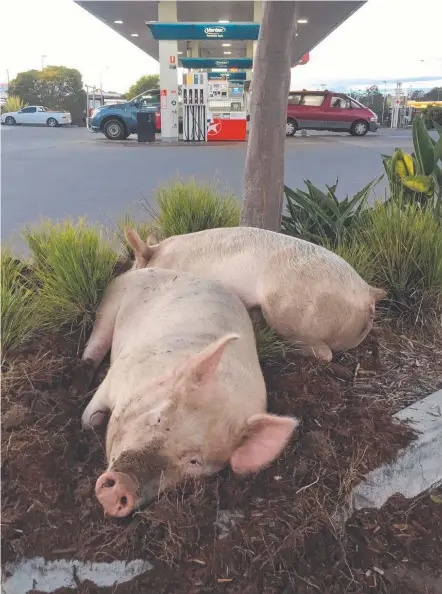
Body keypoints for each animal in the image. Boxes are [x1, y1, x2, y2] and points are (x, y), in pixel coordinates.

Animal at [81, 266, 298, 516]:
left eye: (195, 462)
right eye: (158, 417)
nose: (122, 485)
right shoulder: (117, 373)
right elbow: (89, 418)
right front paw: (90, 422)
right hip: (111, 301)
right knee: (96, 343)